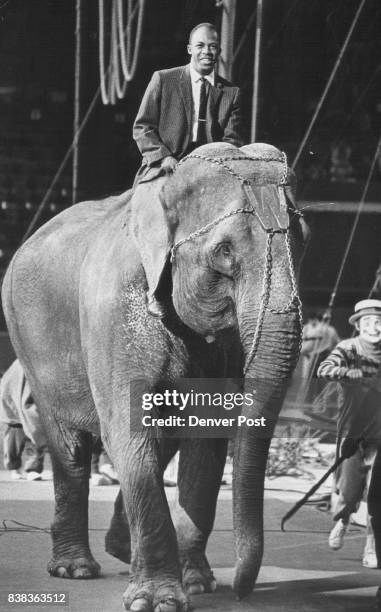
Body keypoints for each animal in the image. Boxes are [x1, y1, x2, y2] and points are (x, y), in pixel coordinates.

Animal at [1, 141, 308, 608]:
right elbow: (131, 429)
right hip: (28, 340)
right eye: (224, 252)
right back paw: (75, 569)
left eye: (303, 238)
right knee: (69, 444)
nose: (241, 592)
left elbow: (206, 439)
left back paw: (120, 548)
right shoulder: (112, 311)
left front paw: (198, 584)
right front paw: (159, 600)